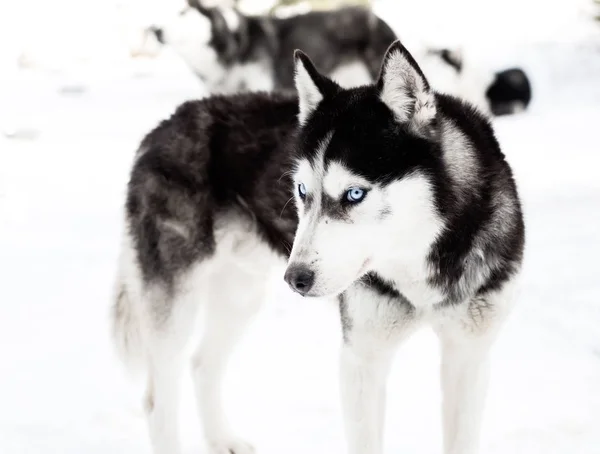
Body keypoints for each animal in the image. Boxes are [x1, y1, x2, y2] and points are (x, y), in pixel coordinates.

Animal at [112, 41, 524, 454]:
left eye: (354, 193)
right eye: (301, 191)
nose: (296, 279)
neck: (417, 264)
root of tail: (162, 126)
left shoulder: (468, 354)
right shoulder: (362, 358)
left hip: (241, 294)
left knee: (202, 365)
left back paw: (223, 440)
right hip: (176, 305)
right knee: (158, 400)